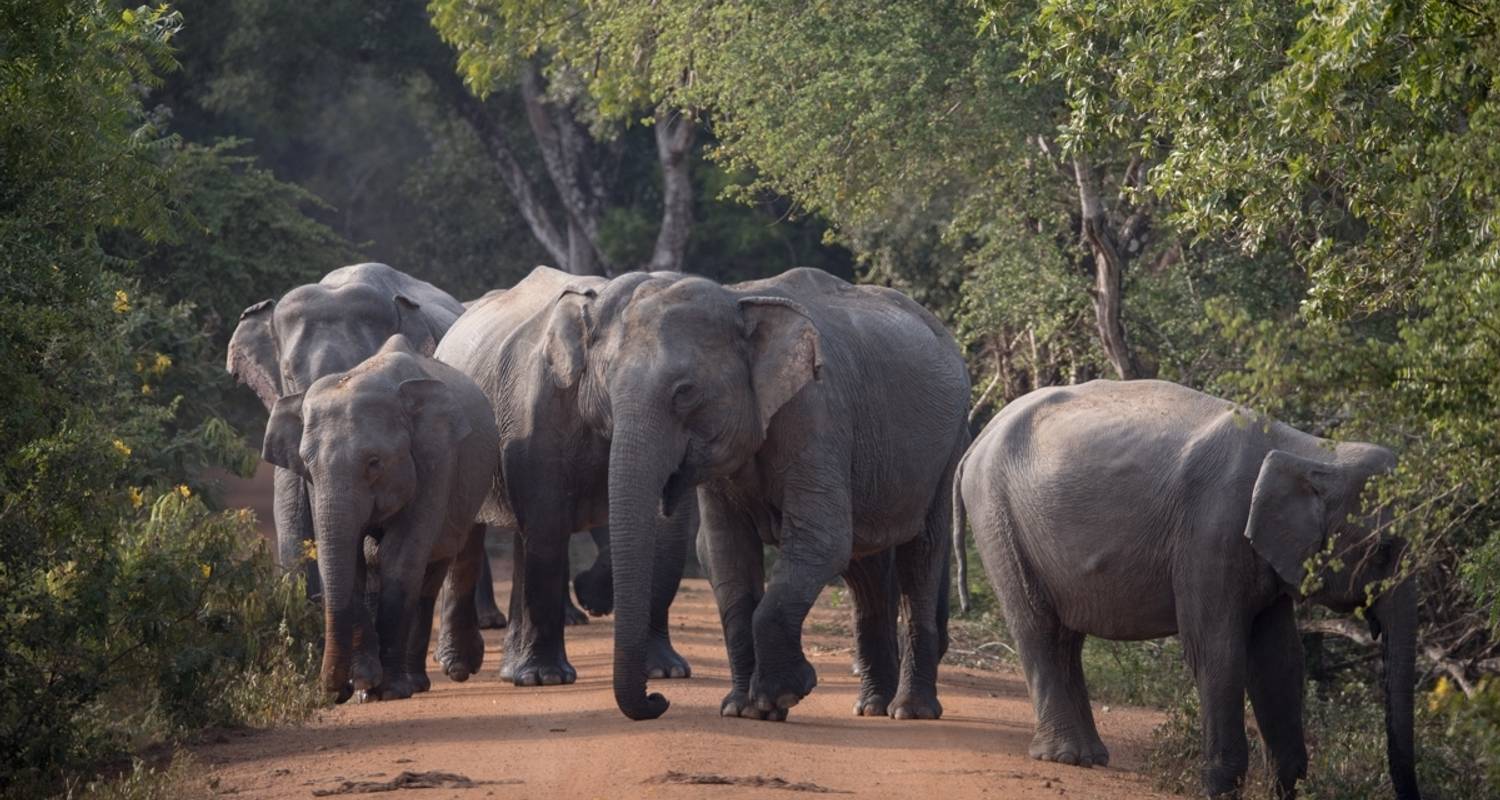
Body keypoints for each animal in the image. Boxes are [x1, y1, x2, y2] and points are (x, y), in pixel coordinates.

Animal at [262, 333, 498, 702]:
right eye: (308, 464)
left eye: (374, 462)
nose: (334, 693)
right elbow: (356, 559)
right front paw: (364, 686)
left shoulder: (436, 459)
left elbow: (401, 558)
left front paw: (387, 690)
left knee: (434, 569)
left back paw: (416, 682)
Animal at [432, 264, 693, 687]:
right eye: (617, 374)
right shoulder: (536, 410)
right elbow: (549, 521)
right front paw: (547, 678)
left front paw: (665, 671)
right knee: (473, 537)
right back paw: (460, 667)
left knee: (522, 538)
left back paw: (510, 668)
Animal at [555, 267, 972, 717]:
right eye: (607, 391)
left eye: (685, 392)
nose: (658, 698)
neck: (738, 301)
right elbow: (724, 551)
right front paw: (744, 709)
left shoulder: (816, 414)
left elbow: (822, 539)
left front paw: (783, 694)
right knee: (867, 568)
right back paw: (872, 706)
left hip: (948, 447)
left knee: (921, 554)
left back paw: (909, 710)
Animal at [948, 378, 1416, 798]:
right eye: (1383, 549)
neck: (1309, 449)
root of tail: (977, 440)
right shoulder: (1210, 534)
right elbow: (1217, 648)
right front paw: (1220, 789)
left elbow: (1280, 657)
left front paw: (1284, 785)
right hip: (997, 516)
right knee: (1037, 624)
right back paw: (1063, 757)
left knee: (1066, 635)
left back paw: (1089, 757)